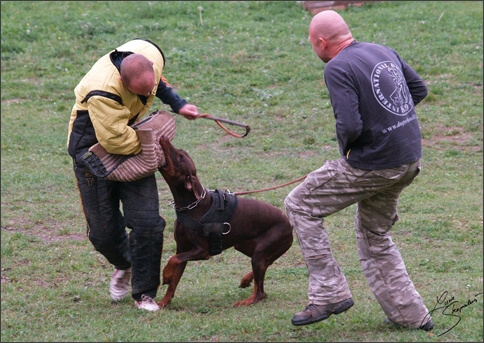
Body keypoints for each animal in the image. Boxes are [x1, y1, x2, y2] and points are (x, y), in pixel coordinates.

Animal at [159, 137, 294, 310]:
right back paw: (246, 280)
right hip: (246, 247)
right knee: (266, 266)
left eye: (179, 156)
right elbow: (174, 280)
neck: (191, 206)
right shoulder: (183, 248)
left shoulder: (202, 251)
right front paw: (162, 303)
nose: (164, 138)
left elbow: (173, 259)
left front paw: (165, 274)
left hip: (260, 252)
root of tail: (289, 224)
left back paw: (247, 300)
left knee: (261, 292)